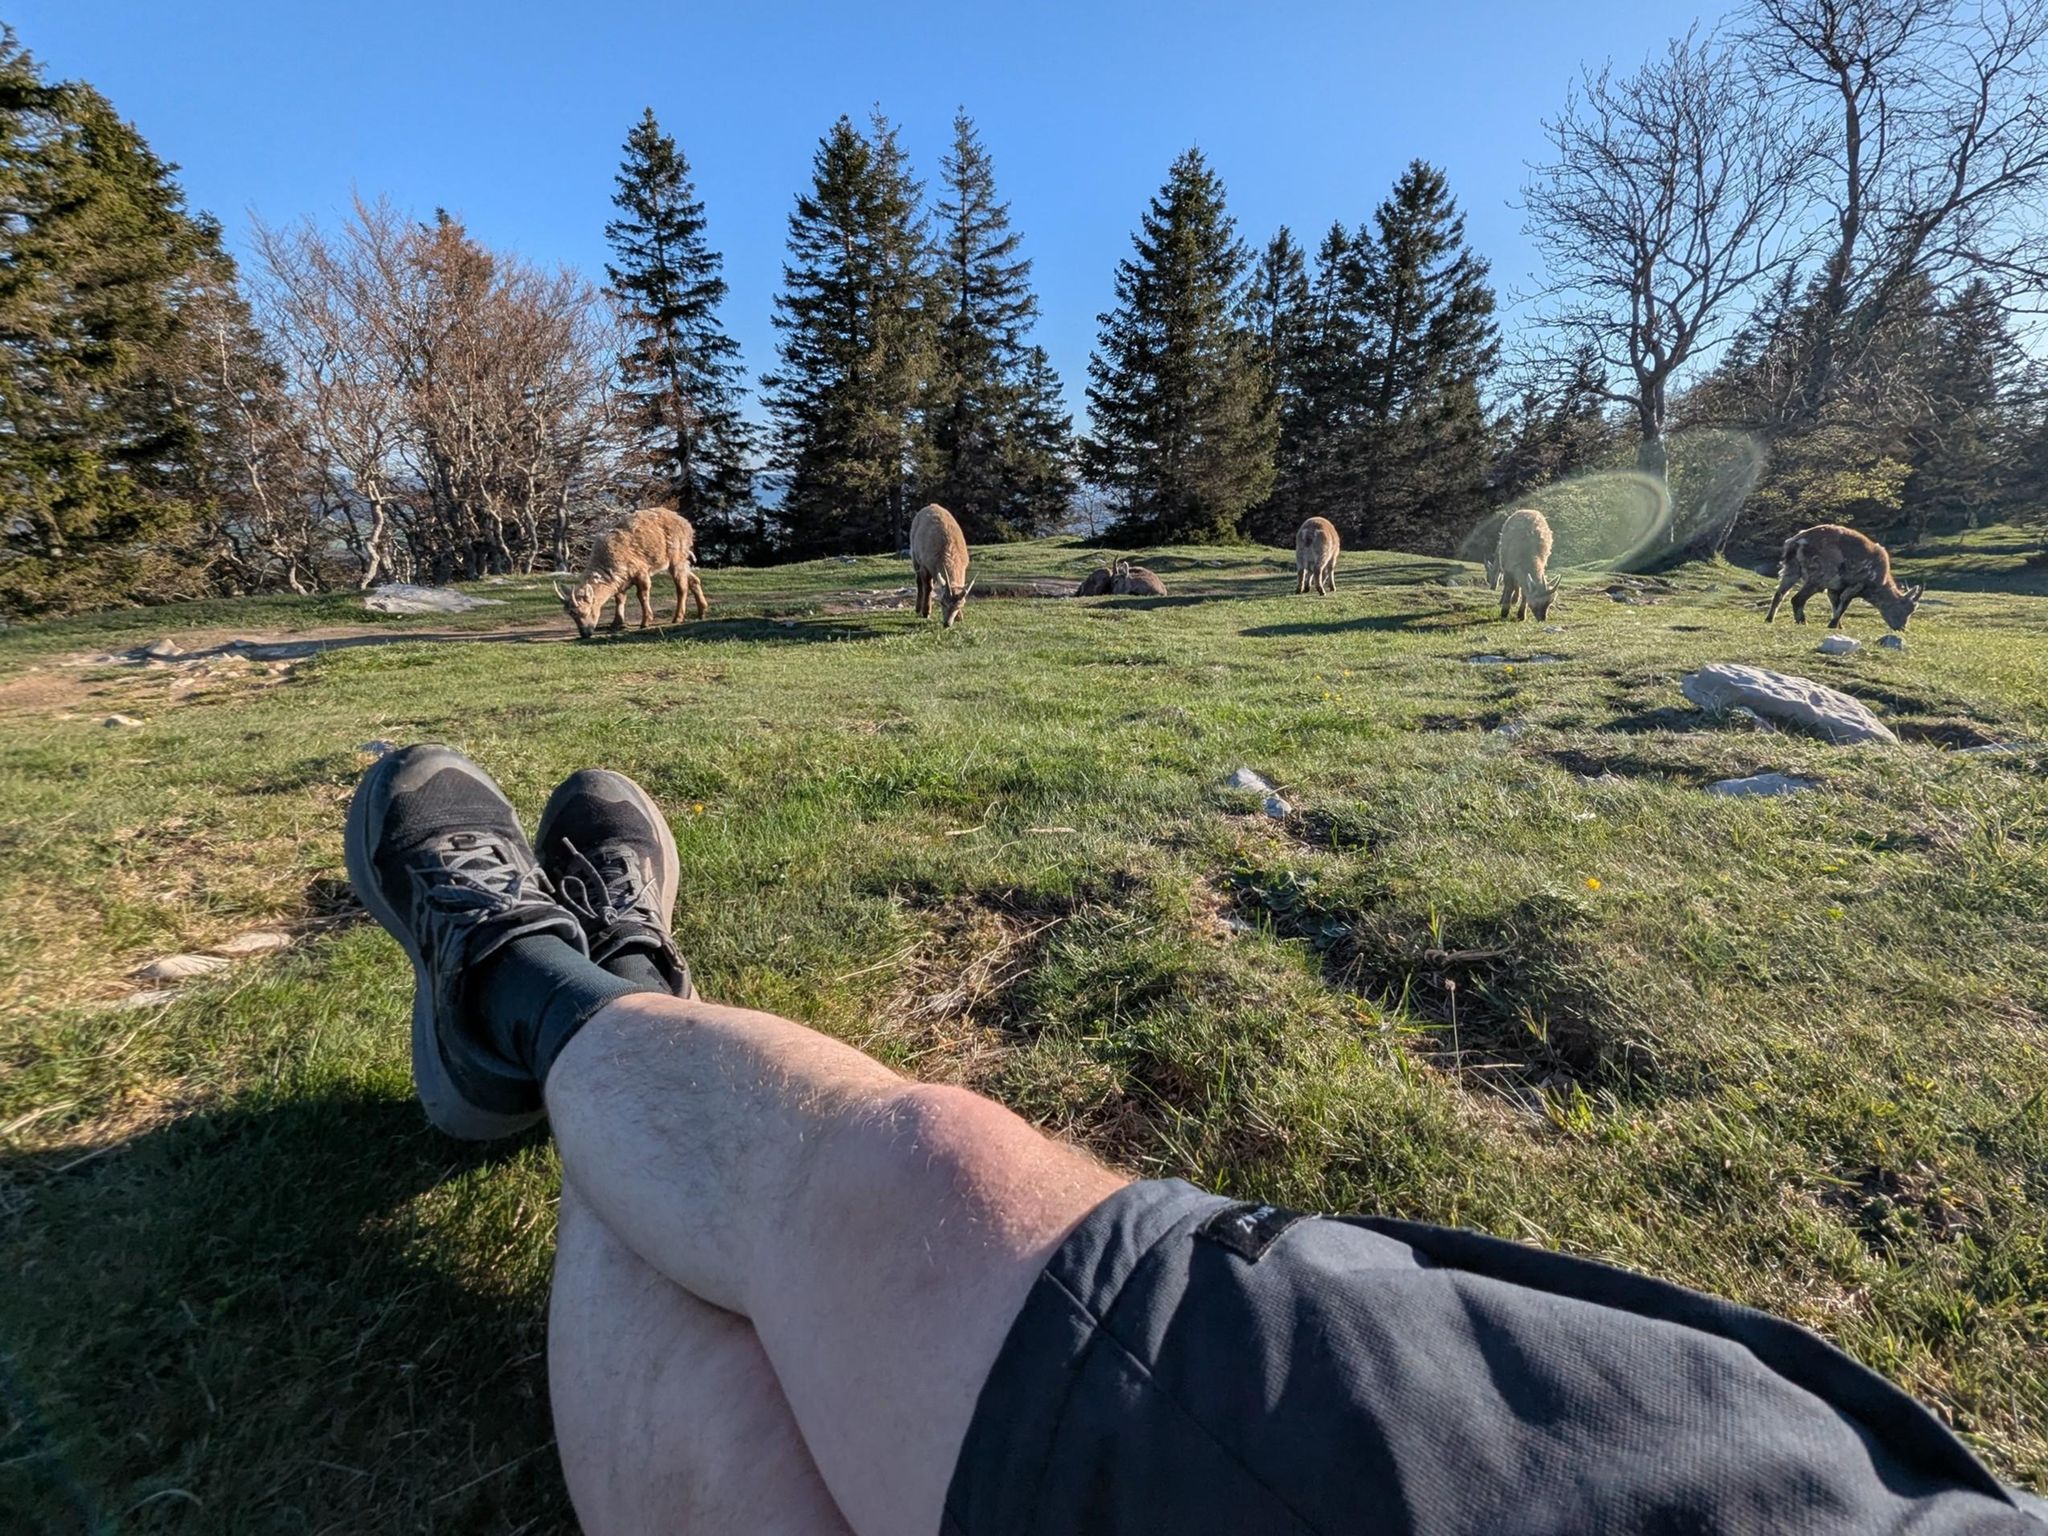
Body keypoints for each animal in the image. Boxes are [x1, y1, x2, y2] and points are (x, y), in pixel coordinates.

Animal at [555, 507, 708, 639]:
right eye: (570, 614)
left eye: (583, 611)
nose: (584, 634)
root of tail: (687, 526)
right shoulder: (621, 579)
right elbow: (620, 598)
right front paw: (616, 624)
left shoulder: (640, 571)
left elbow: (642, 595)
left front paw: (645, 622)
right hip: (683, 558)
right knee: (693, 579)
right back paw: (702, 611)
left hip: (676, 556)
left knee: (681, 586)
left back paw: (678, 618)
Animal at [1764, 524, 1924, 630]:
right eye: (1907, 609)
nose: (1901, 628)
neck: (1879, 580)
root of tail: (1798, 541)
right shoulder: (1856, 584)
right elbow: (1844, 604)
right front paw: (1833, 625)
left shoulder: (1835, 588)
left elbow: (1835, 604)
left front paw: (1838, 626)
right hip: (1820, 576)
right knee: (1797, 599)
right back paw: (1802, 621)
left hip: (1791, 568)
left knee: (1779, 594)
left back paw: (1769, 619)